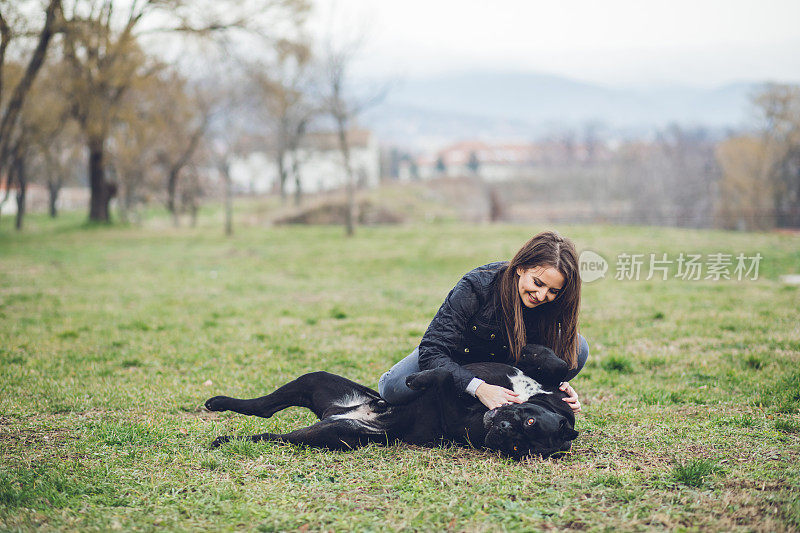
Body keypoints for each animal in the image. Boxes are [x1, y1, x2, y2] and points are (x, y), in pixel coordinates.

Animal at [206, 342, 580, 460]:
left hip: (325, 435)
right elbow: (560, 364)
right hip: (314, 379)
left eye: (517, 448)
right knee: (263, 407)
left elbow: (447, 378)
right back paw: (216, 402)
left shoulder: (456, 416)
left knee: (270, 434)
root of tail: (338, 413)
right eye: (529, 420)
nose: (502, 430)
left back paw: (225, 439)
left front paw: (420, 379)